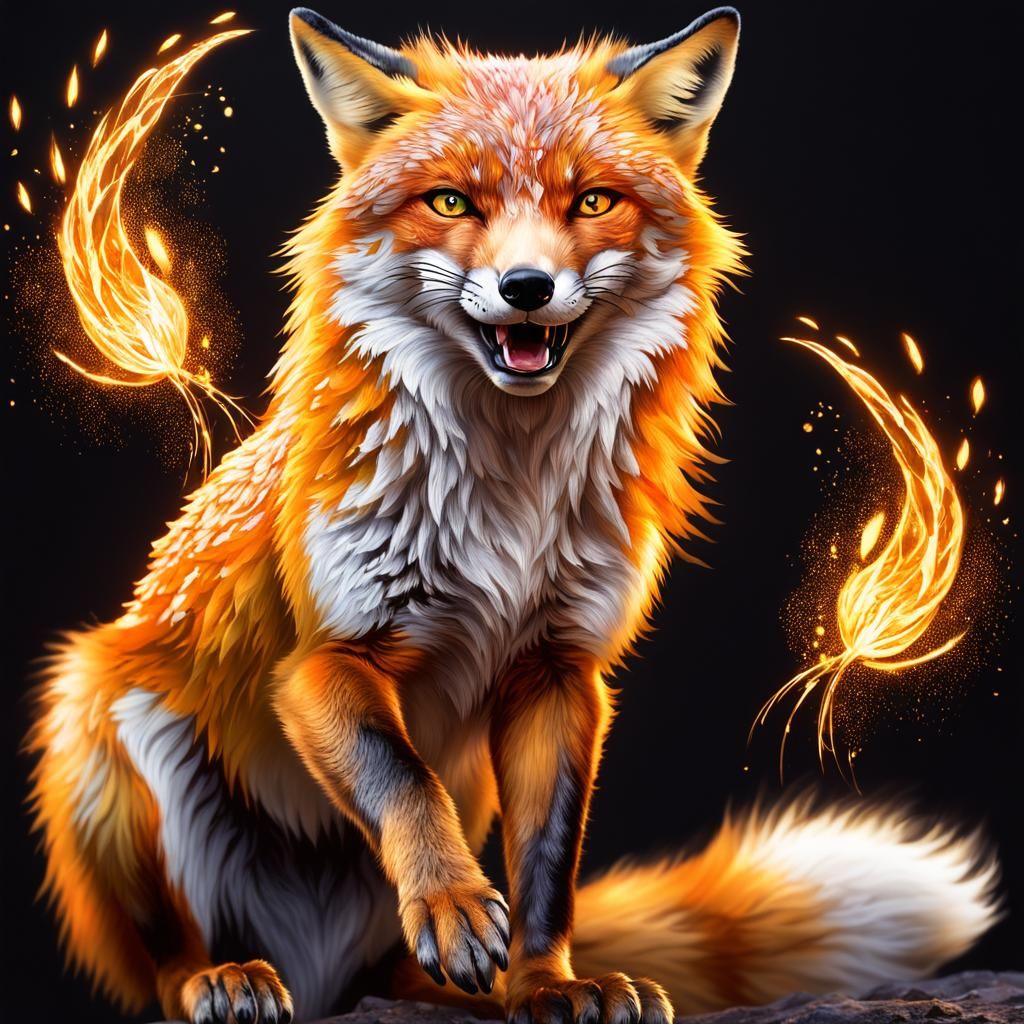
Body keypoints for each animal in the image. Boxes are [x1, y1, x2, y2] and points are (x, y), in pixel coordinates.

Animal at [26, 6, 1001, 1024]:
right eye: (453, 202)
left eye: (594, 201)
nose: (526, 288)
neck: (512, 505)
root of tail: (320, 970)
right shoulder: (324, 661)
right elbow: (403, 781)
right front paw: (455, 905)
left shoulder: (558, 671)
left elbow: (545, 868)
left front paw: (549, 984)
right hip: (97, 722)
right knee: (165, 960)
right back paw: (223, 976)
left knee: (396, 971)